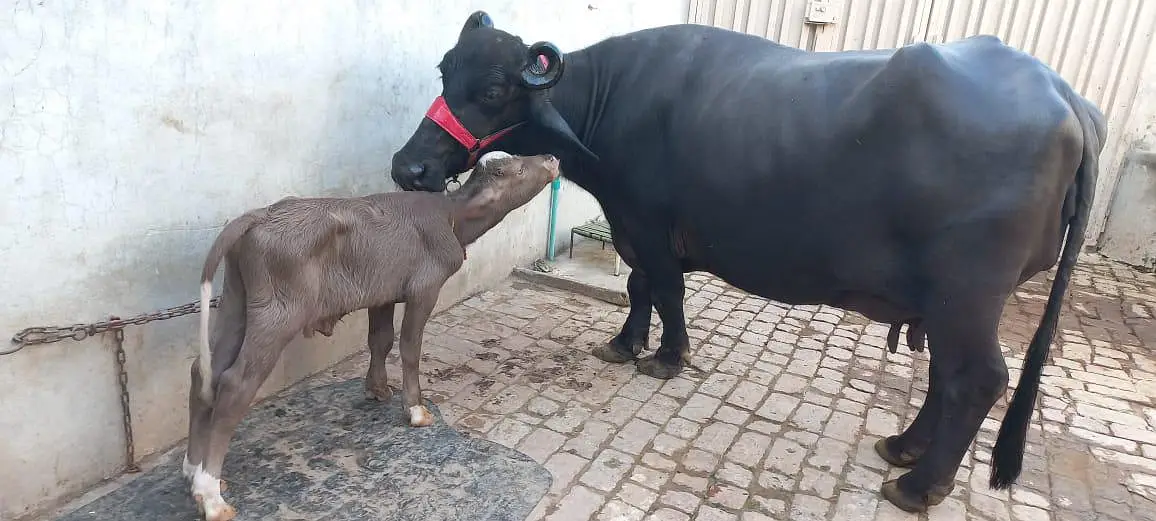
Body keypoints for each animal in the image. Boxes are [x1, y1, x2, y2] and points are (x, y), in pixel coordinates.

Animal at [390, 12, 1105, 513]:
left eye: (493, 87)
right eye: (445, 72)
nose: (410, 167)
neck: (609, 101)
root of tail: (1064, 97)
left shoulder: (646, 222)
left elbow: (665, 289)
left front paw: (668, 356)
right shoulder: (631, 226)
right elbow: (639, 286)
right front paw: (625, 344)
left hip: (969, 293)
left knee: (978, 380)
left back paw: (918, 484)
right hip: (946, 301)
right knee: (946, 378)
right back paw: (902, 447)